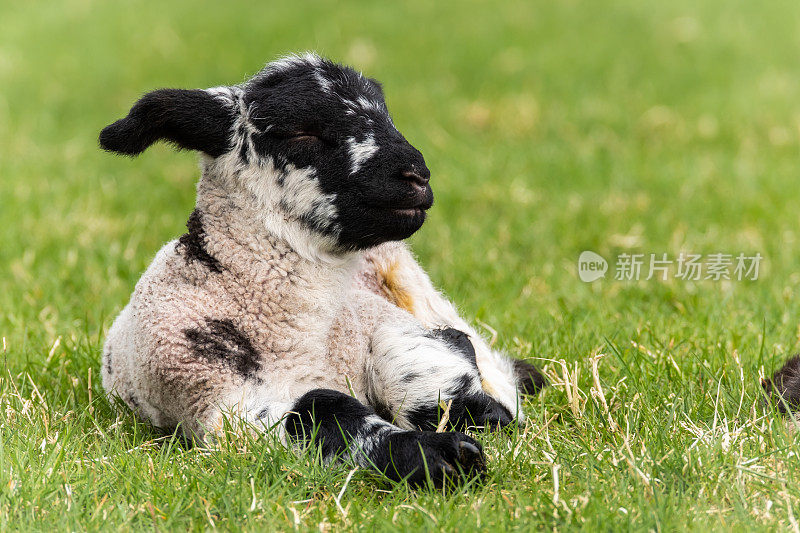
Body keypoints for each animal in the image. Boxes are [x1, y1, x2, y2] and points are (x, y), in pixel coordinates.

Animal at [100, 54, 548, 486]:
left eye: (386, 114)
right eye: (300, 132)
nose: (416, 176)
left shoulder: (388, 323)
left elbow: (424, 363)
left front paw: (473, 423)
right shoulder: (219, 400)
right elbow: (322, 408)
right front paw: (438, 455)